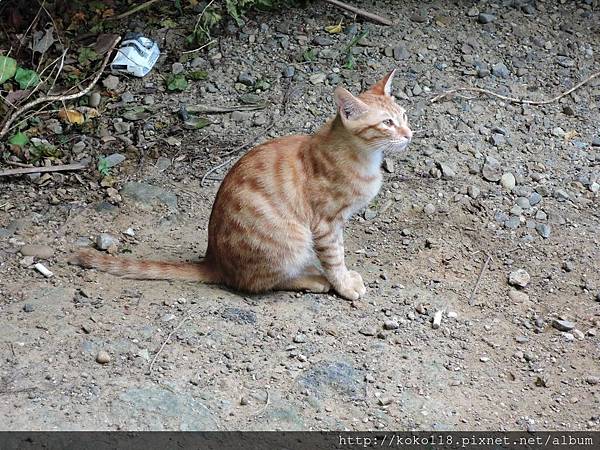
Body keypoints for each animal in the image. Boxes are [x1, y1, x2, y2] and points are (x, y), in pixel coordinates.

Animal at [69, 69, 408, 298]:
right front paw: (345, 285)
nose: (409, 133)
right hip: (293, 239)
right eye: (386, 123)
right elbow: (336, 258)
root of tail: (213, 261)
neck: (362, 155)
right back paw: (313, 278)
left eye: (403, 115)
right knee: (260, 282)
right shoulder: (326, 224)